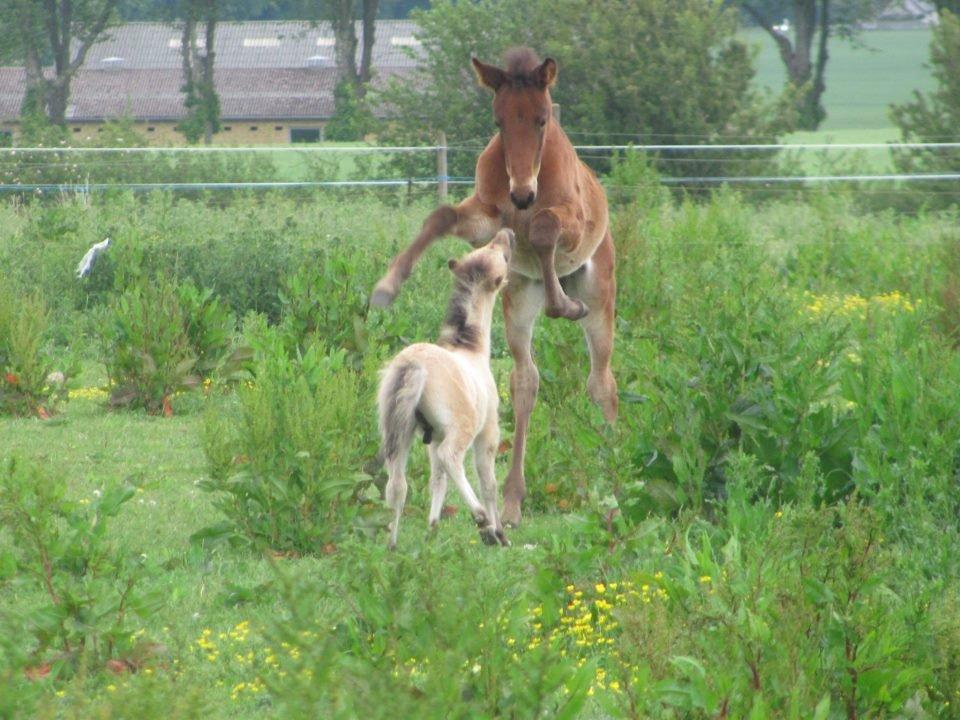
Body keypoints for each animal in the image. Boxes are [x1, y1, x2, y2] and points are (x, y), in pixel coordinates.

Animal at [376, 228, 512, 548]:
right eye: (501, 255)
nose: (506, 232)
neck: (473, 351)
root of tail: (412, 364)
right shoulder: (488, 432)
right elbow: (488, 481)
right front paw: (499, 533)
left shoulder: (433, 438)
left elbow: (437, 480)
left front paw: (433, 527)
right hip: (461, 430)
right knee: (452, 458)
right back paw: (481, 519)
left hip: (399, 432)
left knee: (397, 484)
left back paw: (392, 544)